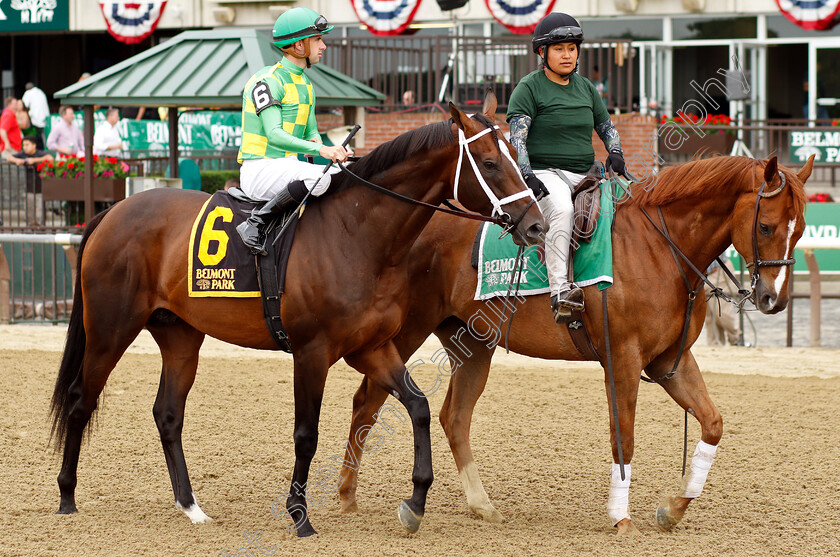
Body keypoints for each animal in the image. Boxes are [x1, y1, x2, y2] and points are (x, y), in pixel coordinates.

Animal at [47, 95, 544, 536]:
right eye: (490, 162)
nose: (535, 223)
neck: (357, 234)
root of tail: (113, 212)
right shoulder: (312, 352)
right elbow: (306, 434)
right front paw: (300, 517)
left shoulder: (370, 347)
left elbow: (418, 407)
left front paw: (415, 502)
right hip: (110, 329)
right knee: (80, 399)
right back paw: (66, 496)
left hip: (181, 335)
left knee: (168, 413)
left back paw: (191, 507)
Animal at [334, 153, 812, 536]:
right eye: (765, 225)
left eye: (801, 229)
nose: (774, 299)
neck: (658, 248)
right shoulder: (623, 360)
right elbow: (624, 439)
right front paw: (621, 517)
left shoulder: (667, 362)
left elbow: (712, 423)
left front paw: (673, 510)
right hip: (402, 333)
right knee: (368, 401)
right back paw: (347, 495)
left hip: (471, 342)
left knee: (454, 417)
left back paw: (480, 505)